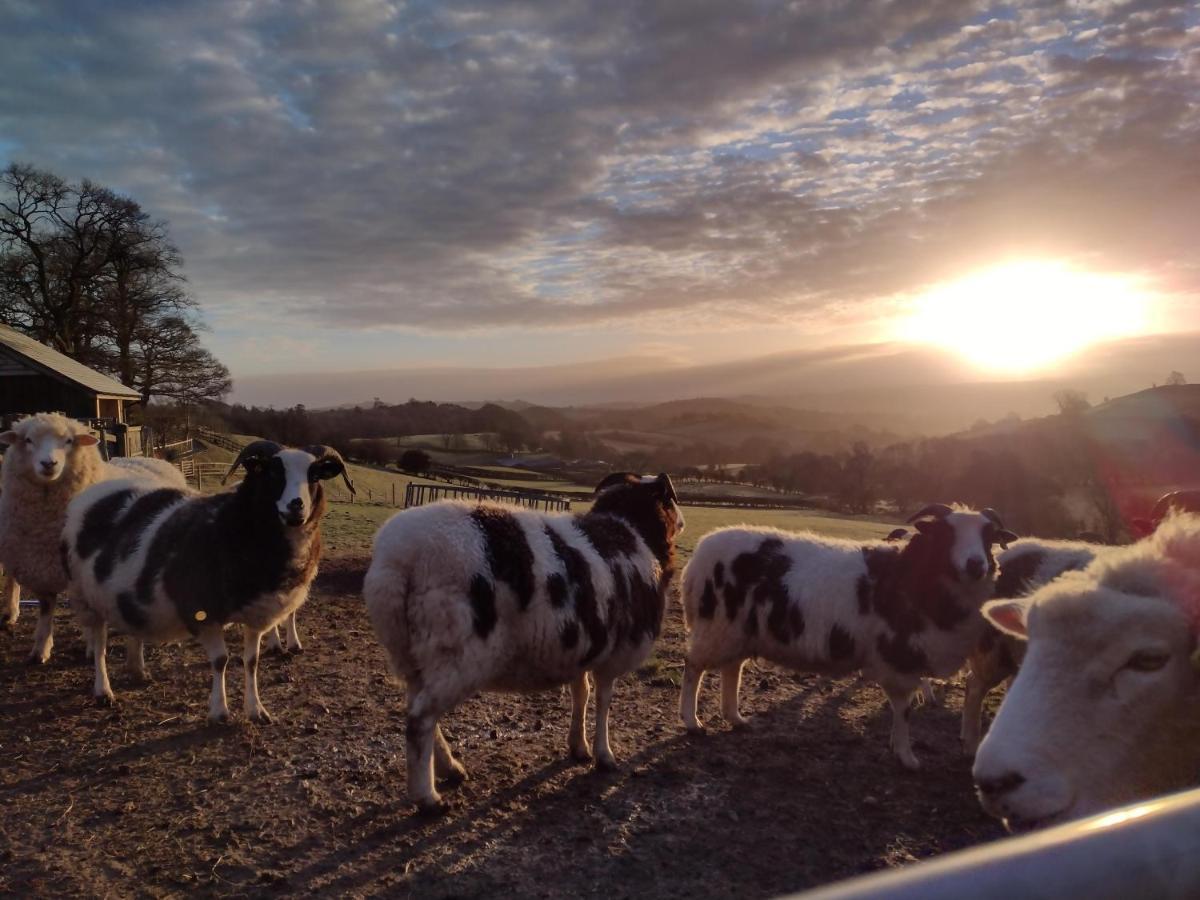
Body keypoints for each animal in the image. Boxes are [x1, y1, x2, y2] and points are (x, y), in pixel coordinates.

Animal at [0, 415, 184, 662]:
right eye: (28, 440)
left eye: (68, 441)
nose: (49, 464)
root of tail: (149, 458)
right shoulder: (39, 566)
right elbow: (46, 609)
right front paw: (41, 649)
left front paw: (91, 646)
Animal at [61, 441, 350, 724]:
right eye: (271, 472)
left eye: (314, 476)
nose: (296, 505)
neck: (232, 525)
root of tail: (95, 490)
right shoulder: (202, 612)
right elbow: (221, 660)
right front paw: (219, 712)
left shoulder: (256, 614)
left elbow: (251, 661)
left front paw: (256, 710)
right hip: (84, 595)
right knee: (99, 644)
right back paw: (103, 691)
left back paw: (137, 670)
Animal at [362, 472, 686, 816]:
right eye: (669, 499)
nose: (682, 522)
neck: (633, 532)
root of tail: (399, 558)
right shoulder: (614, 655)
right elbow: (603, 702)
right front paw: (605, 756)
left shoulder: (582, 648)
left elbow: (581, 694)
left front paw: (579, 747)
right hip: (455, 654)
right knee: (420, 719)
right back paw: (428, 798)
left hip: (412, 655)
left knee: (418, 709)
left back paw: (450, 769)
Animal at [681, 504, 1017, 772]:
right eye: (947, 533)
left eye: (989, 536)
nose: (976, 564)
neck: (913, 576)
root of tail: (700, 553)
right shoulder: (898, 658)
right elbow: (904, 710)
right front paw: (906, 756)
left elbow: (902, 709)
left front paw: (897, 748)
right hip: (717, 626)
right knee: (693, 665)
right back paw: (692, 721)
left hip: (738, 631)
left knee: (731, 669)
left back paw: (736, 718)